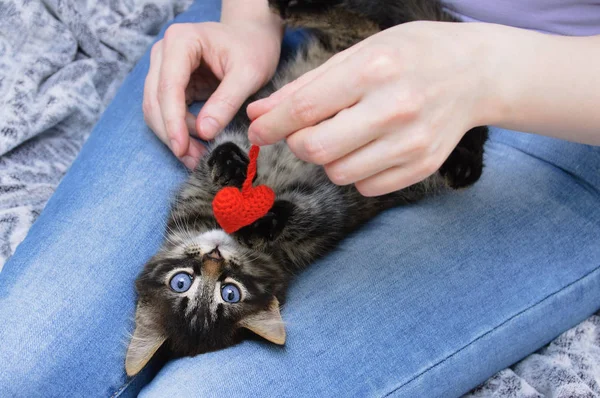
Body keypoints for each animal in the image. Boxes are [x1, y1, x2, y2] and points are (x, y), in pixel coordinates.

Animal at [125, 0, 488, 374]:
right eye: (182, 284)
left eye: (228, 292)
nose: (214, 257)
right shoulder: (323, 217)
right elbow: (304, 212)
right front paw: (261, 216)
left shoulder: (232, 152)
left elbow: (228, 149)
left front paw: (231, 168)